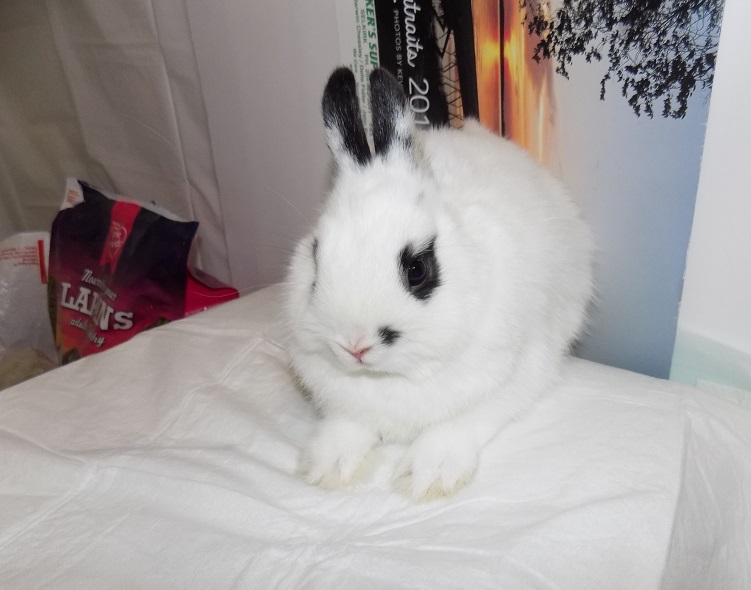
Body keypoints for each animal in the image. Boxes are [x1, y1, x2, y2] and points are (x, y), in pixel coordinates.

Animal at [283, 67, 594, 501]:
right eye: (316, 257)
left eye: (417, 269)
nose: (355, 345)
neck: (392, 378)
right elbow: (347, 424)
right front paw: (328, 467)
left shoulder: (516, 375)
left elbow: (458, 424)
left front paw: (428, 477)